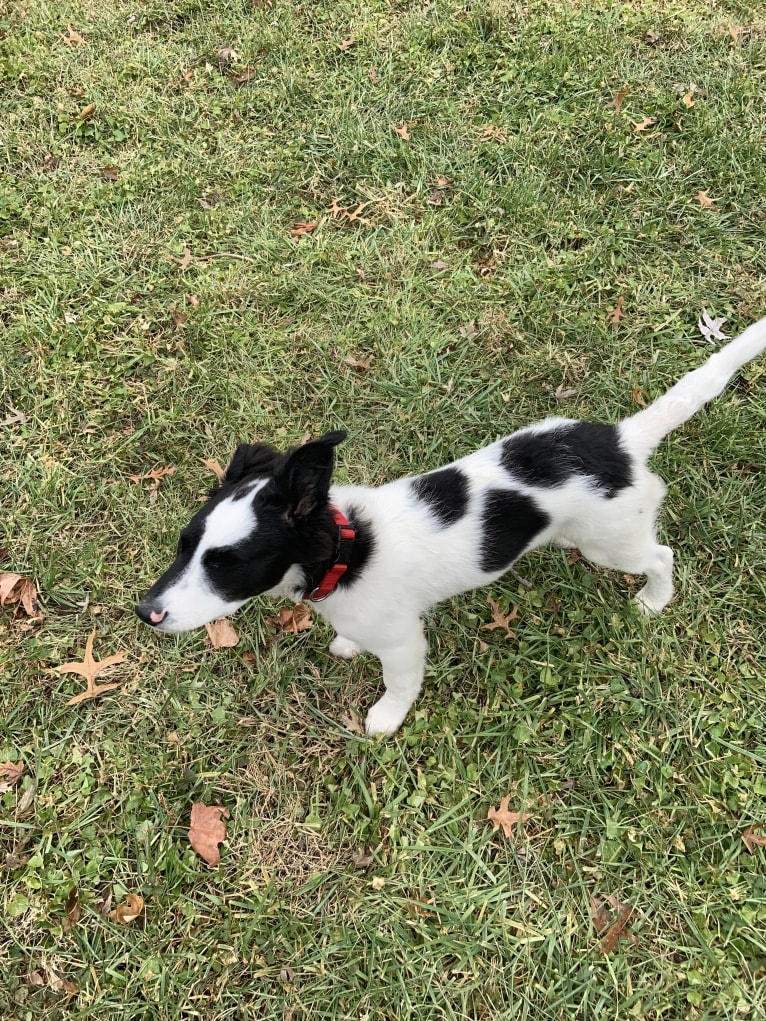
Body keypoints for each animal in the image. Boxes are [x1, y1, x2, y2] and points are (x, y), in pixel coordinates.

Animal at [137, 318, 766, 735]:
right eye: (183, 547)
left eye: (228, 564)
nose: (146, 614)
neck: (347, 549)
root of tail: (620, 441)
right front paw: (346, 644)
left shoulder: (403, 643)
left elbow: (398, 685)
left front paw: (384, 721)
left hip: (610, 543)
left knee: (661, 557)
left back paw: (654, 601)